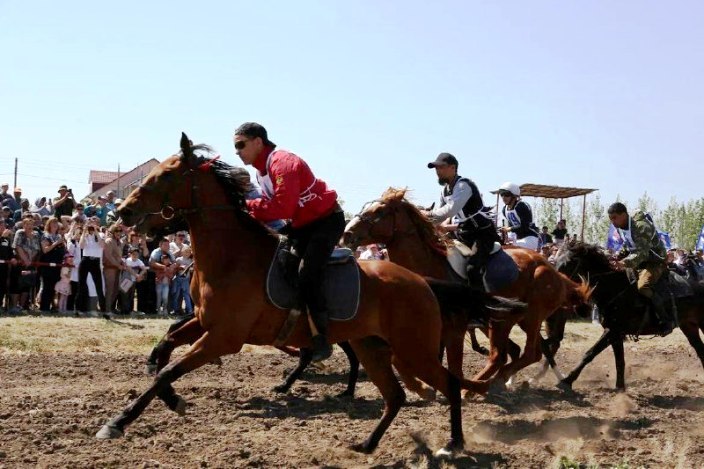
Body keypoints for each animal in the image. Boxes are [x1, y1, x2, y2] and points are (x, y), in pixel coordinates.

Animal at [99, 133, 506, 454]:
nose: (122, 210)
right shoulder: (204, 322)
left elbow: (170, 368)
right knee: (396, 395)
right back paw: (368, 443)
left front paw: (120, 421)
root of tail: (421, 281)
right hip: (372, 346)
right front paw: (162, 399)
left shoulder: (224, 337)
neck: (232, 256)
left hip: (413, 349)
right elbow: (166, 350)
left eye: (166, 174)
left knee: (449, 382)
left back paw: (454, 442)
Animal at [340, 188, 588, 394]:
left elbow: (453, 366)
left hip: (520, 318)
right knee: (524, 351)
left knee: (520, 353)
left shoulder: (455, 329)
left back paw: (488, 384)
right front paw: (424, 387)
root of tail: (554, 270)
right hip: (517, 321)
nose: (347, 234)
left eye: (379, 211)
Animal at [552, 243, 704, 390]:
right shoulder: (615, 333)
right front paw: (620, 388)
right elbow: (619, 361)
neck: (616, 288)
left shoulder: (613, 331)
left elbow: (590, 353)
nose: (554, 280)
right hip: (689, 326)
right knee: (700, 349)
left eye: (569, 262)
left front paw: (566, 381)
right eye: (557, 259)